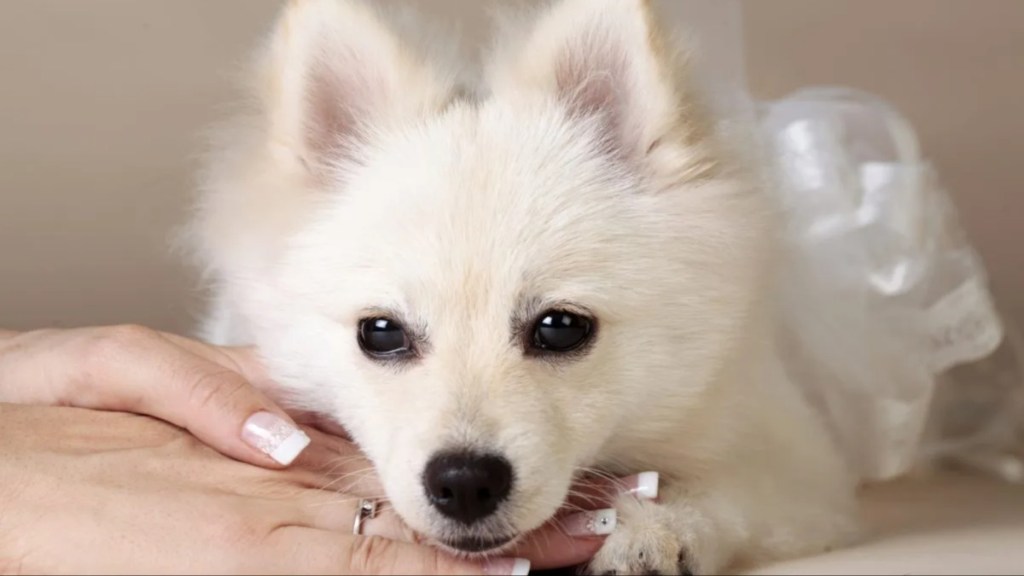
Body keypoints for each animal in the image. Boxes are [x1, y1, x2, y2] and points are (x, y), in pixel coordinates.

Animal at [186, 0, 864, 569]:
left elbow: (728, 490)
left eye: (560, 328)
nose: (464, 481)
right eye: (379, 333)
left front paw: (652, 529)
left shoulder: (798, 468)